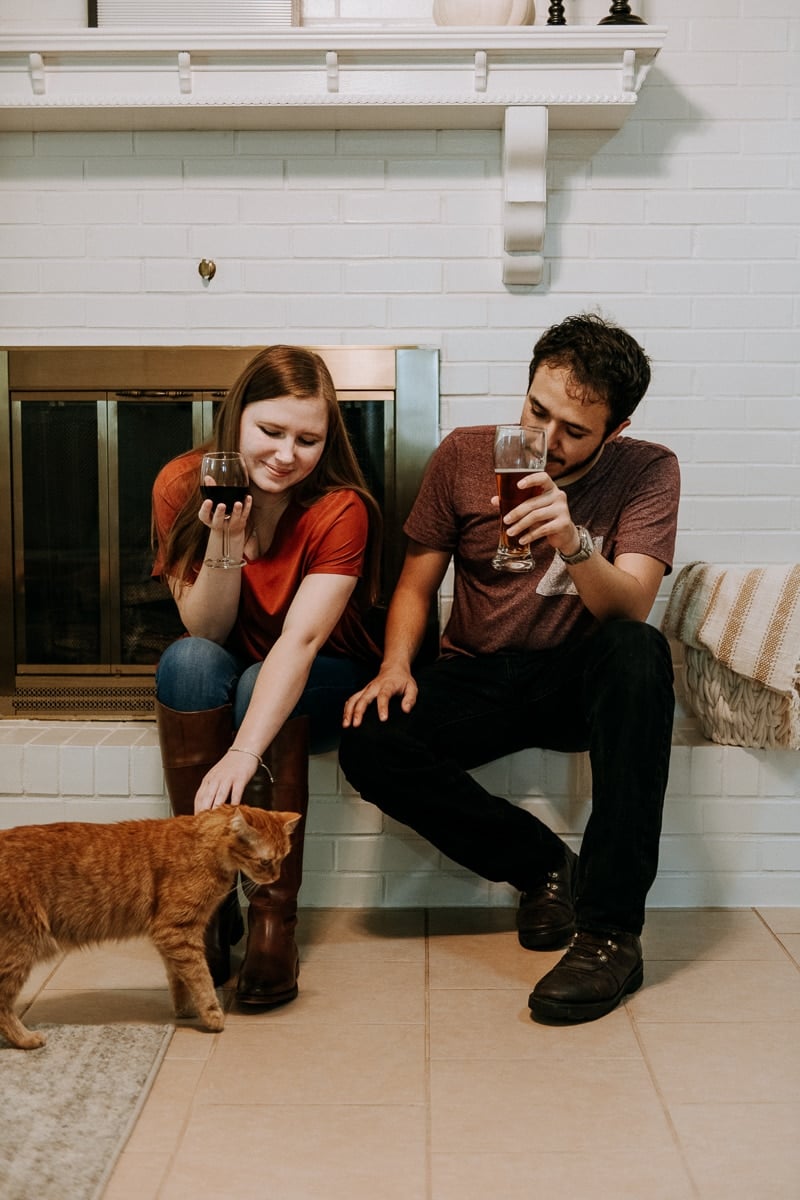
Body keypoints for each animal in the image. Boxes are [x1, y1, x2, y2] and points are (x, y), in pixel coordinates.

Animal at [0, 806, 299, 1051]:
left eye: (285, 857)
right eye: (265, 861)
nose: (276, 877)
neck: (201, 844)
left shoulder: (172, 937)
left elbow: (179, 978)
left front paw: (185, 1009)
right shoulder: (176, 930)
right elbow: (200, 977)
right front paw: (212, 1013)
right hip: (19, 949)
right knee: (3, 1005)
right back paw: (26, 1039)